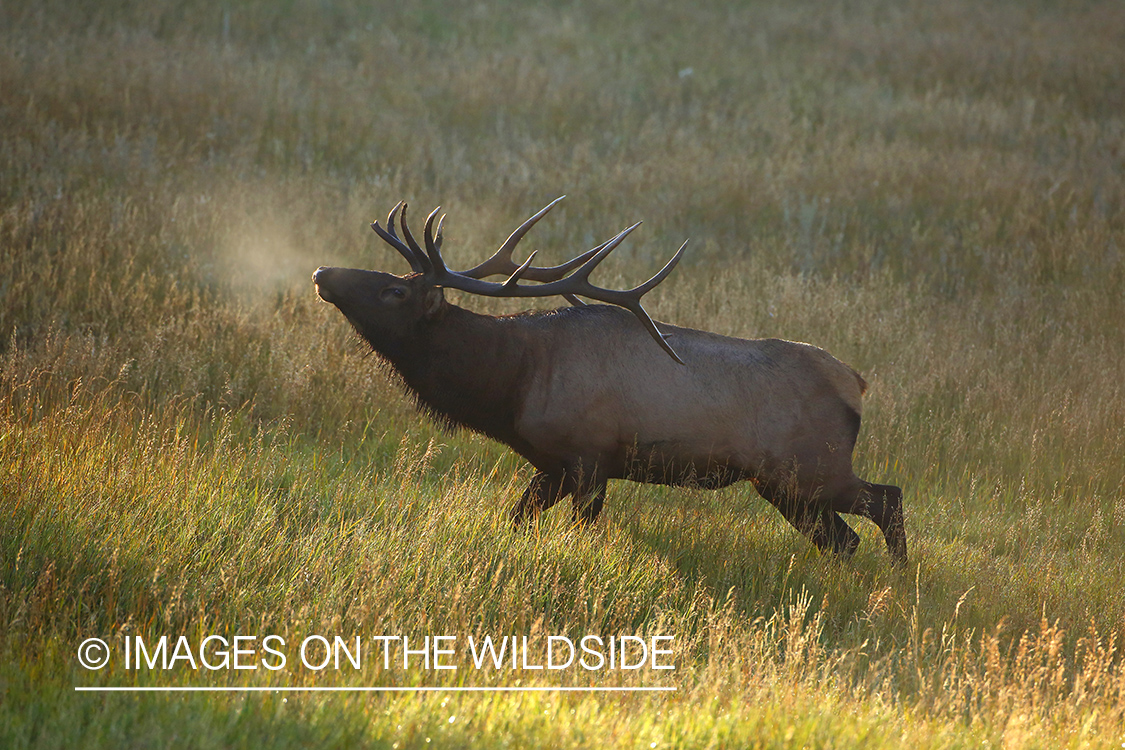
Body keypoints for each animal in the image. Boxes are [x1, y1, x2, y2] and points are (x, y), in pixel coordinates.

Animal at [313, 197, 907, 563]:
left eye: (395, 290)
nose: (321, 272)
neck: (511, 383)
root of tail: (856, 384)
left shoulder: (590, 457)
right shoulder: (550, 464)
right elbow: (515, 519)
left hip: (810, 468)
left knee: (887, 500)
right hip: (785, 485)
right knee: (844, 540)